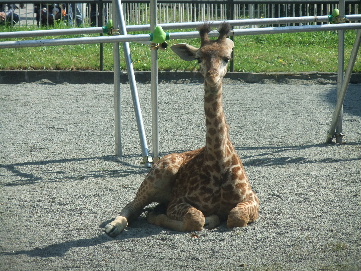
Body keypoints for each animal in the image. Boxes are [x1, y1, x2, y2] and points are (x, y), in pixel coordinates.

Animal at [104, 22, 258, 238]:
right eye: (199, 57)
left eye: (227, 58)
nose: (211, 77)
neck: (219, 160)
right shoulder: (177, 202)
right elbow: (196, 218)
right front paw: (205, 218)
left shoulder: (252, 199)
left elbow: (236, 217)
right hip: (160, 174)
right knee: (134, 206)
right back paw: (114, 226)